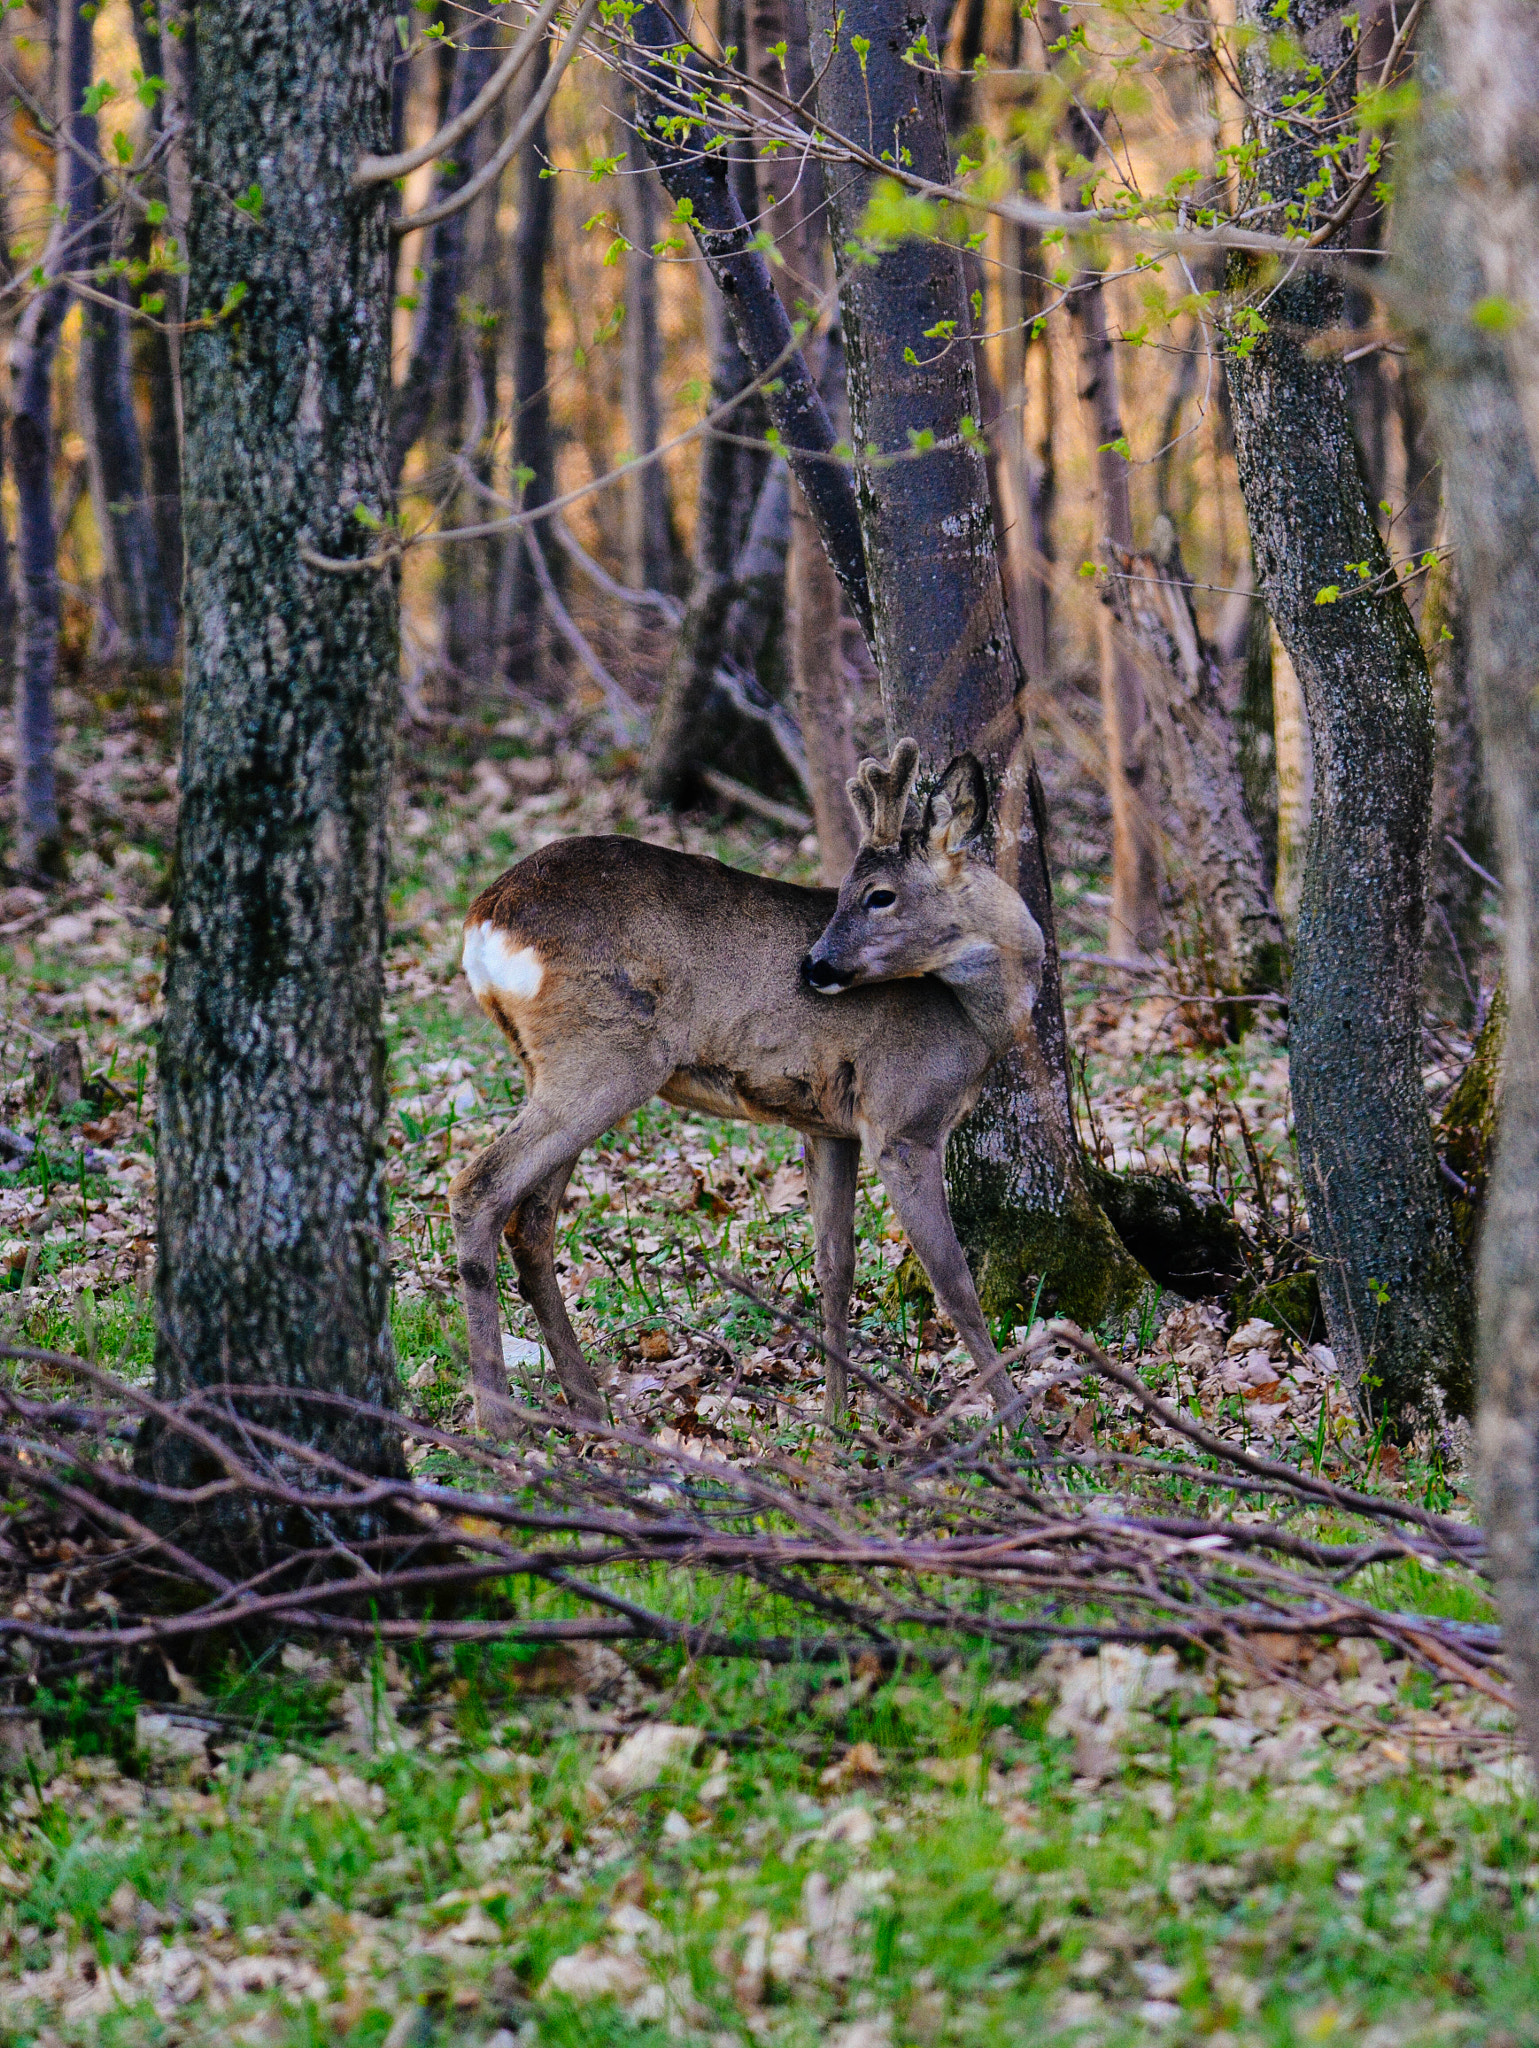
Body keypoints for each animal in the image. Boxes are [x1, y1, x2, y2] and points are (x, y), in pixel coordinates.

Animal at [448, 741, 1049, 1441]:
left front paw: (834, 1420)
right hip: (606, 1057)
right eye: (851, 893)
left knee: (533, 1221)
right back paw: (499, 1420)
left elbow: (835, 1265)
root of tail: (485, 919)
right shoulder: (902, 1122)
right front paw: (1022, 1429)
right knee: (479, 1189)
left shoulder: (829, 1126)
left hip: (551, 1065)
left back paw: (590, 1404)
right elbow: (955, 1283)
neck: (976, 1019)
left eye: (878, 895)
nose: (814, 966)